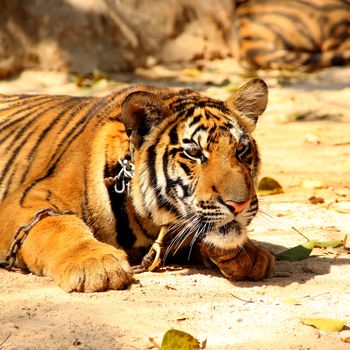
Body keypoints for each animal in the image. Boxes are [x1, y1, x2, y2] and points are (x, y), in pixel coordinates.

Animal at [0, 79, 274, 292]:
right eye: (194, 152)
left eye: (242, 149)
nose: (239, 205)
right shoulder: (26, 200)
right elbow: (56, 225)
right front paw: (96, 262)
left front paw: (251, 255)